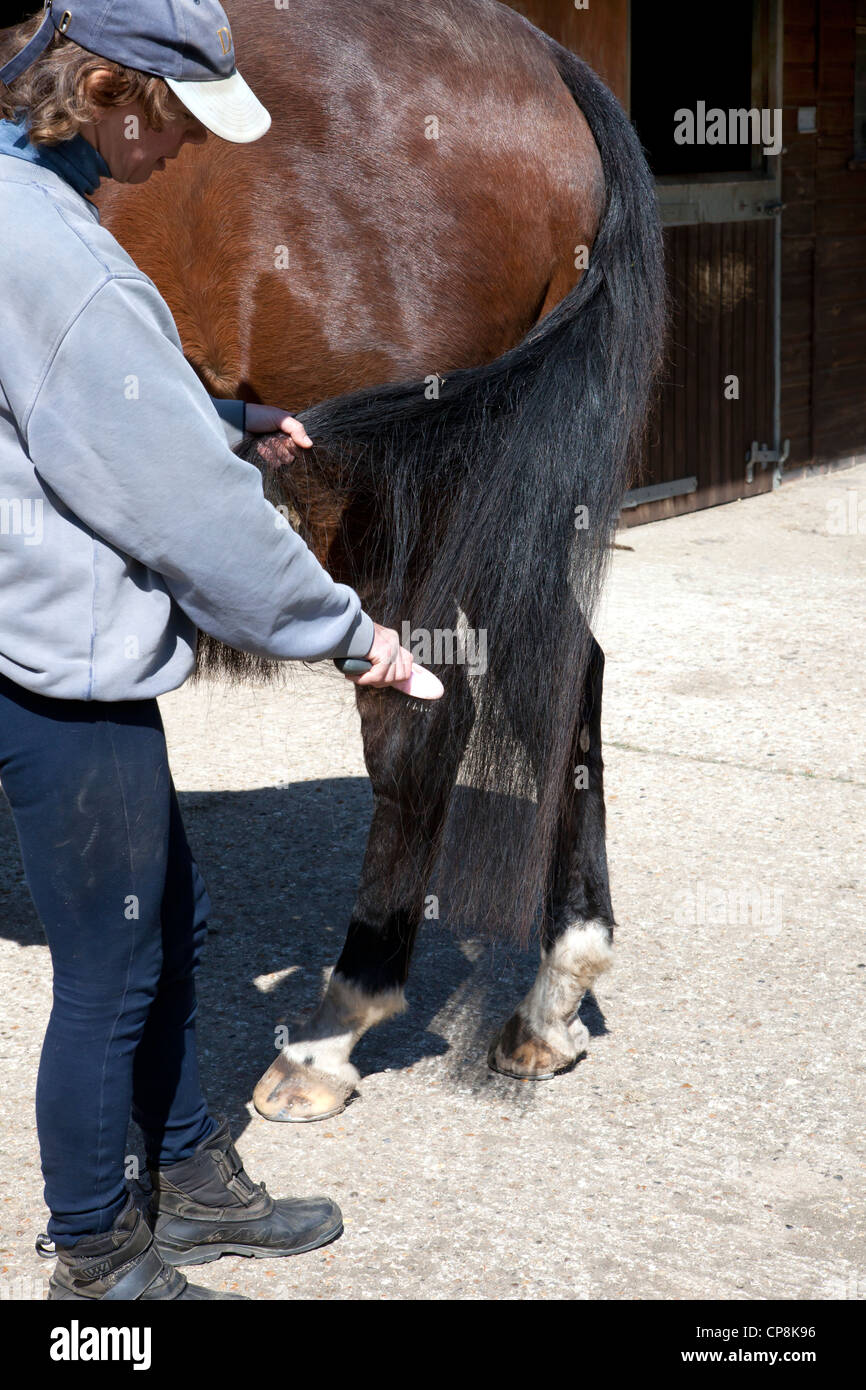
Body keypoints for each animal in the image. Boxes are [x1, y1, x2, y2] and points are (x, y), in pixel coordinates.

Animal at [95, 0, 665, 1122]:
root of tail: (541, 58)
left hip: (388, 502)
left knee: (420, 716)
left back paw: (332, 1028)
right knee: (561, 672)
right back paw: (551, 996)